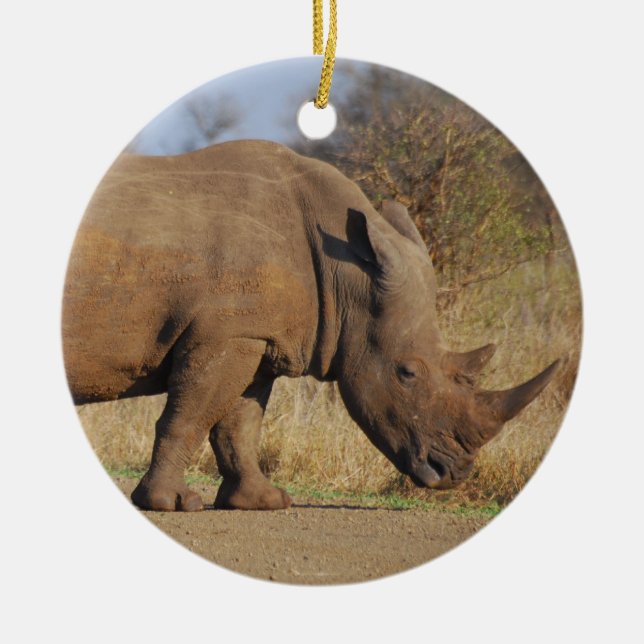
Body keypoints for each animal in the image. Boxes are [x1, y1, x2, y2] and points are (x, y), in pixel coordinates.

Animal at [63, 139, 559, 511]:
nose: (452, 474)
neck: (349, 275)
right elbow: (189, 416)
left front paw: (263, 502)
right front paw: (171, 503)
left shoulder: (255, 334)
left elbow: (239, 425)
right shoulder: (226, 334)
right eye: (407, 373)